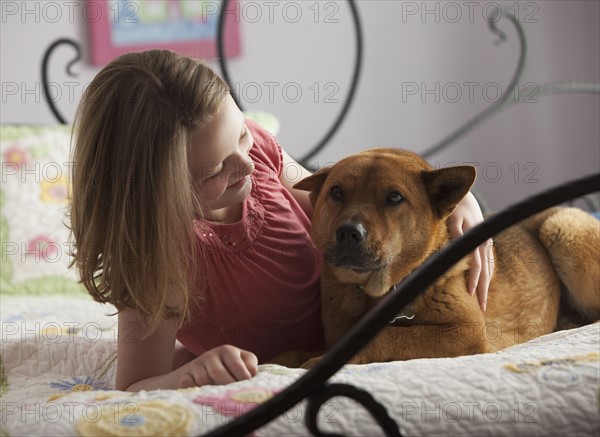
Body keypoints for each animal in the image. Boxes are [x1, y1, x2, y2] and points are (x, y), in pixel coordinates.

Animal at [290, 148, 596, 366]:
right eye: (336, 192)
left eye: (394, 197)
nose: (348, 233)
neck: (376, 291)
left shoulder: (468, 333)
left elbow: (386, 334)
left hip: (561, 227)